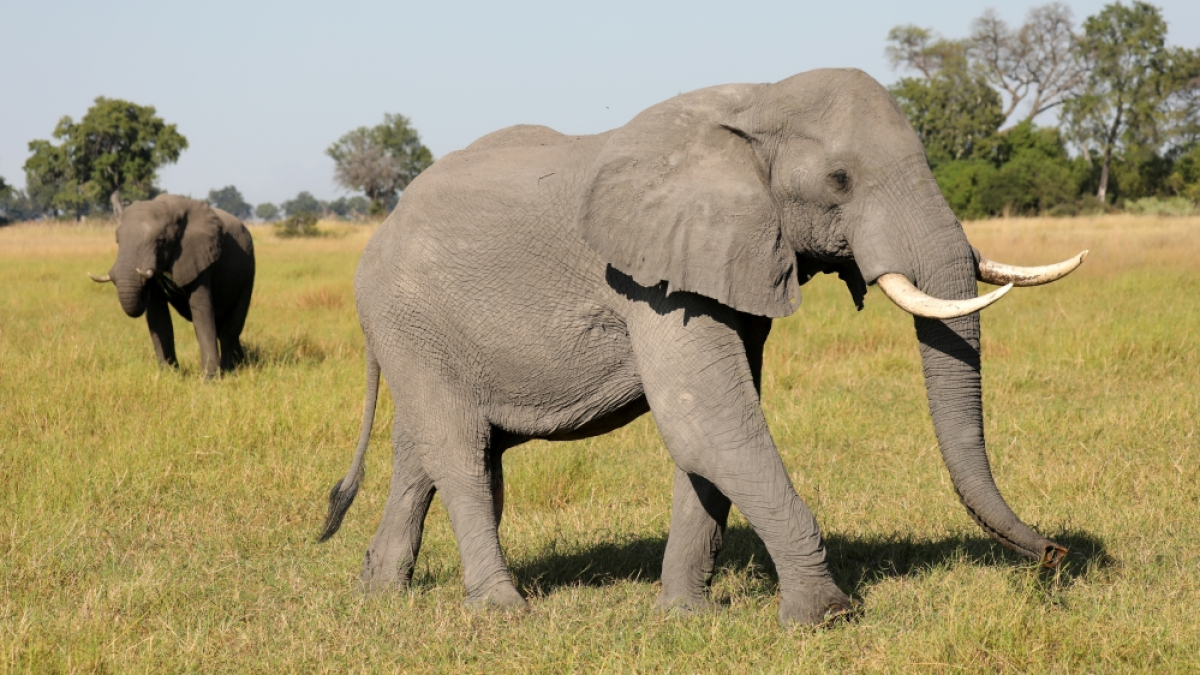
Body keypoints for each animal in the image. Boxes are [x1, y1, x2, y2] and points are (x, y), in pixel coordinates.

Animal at [89, 194, 255, 379]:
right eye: (117, 241)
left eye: (161, 242)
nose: (142, 287)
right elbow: (158, 317)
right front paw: (168, 376)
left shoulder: (200, 255)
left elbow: (202, 312)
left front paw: (209, 379)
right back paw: (240, 364)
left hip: (249, 269)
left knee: (230, 327)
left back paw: (231, 370)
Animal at [318, 68, 1086, 627]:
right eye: (839, 181)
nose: (1056, 554)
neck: (758, 101)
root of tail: (380, 229)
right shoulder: (649, 278)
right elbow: (708, 422)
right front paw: (824, 618)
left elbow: (712, 435)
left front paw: (684, 618)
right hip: (407, 316)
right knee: (460, 450)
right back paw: (504, 613)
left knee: (430, 449)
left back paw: (379, 593)